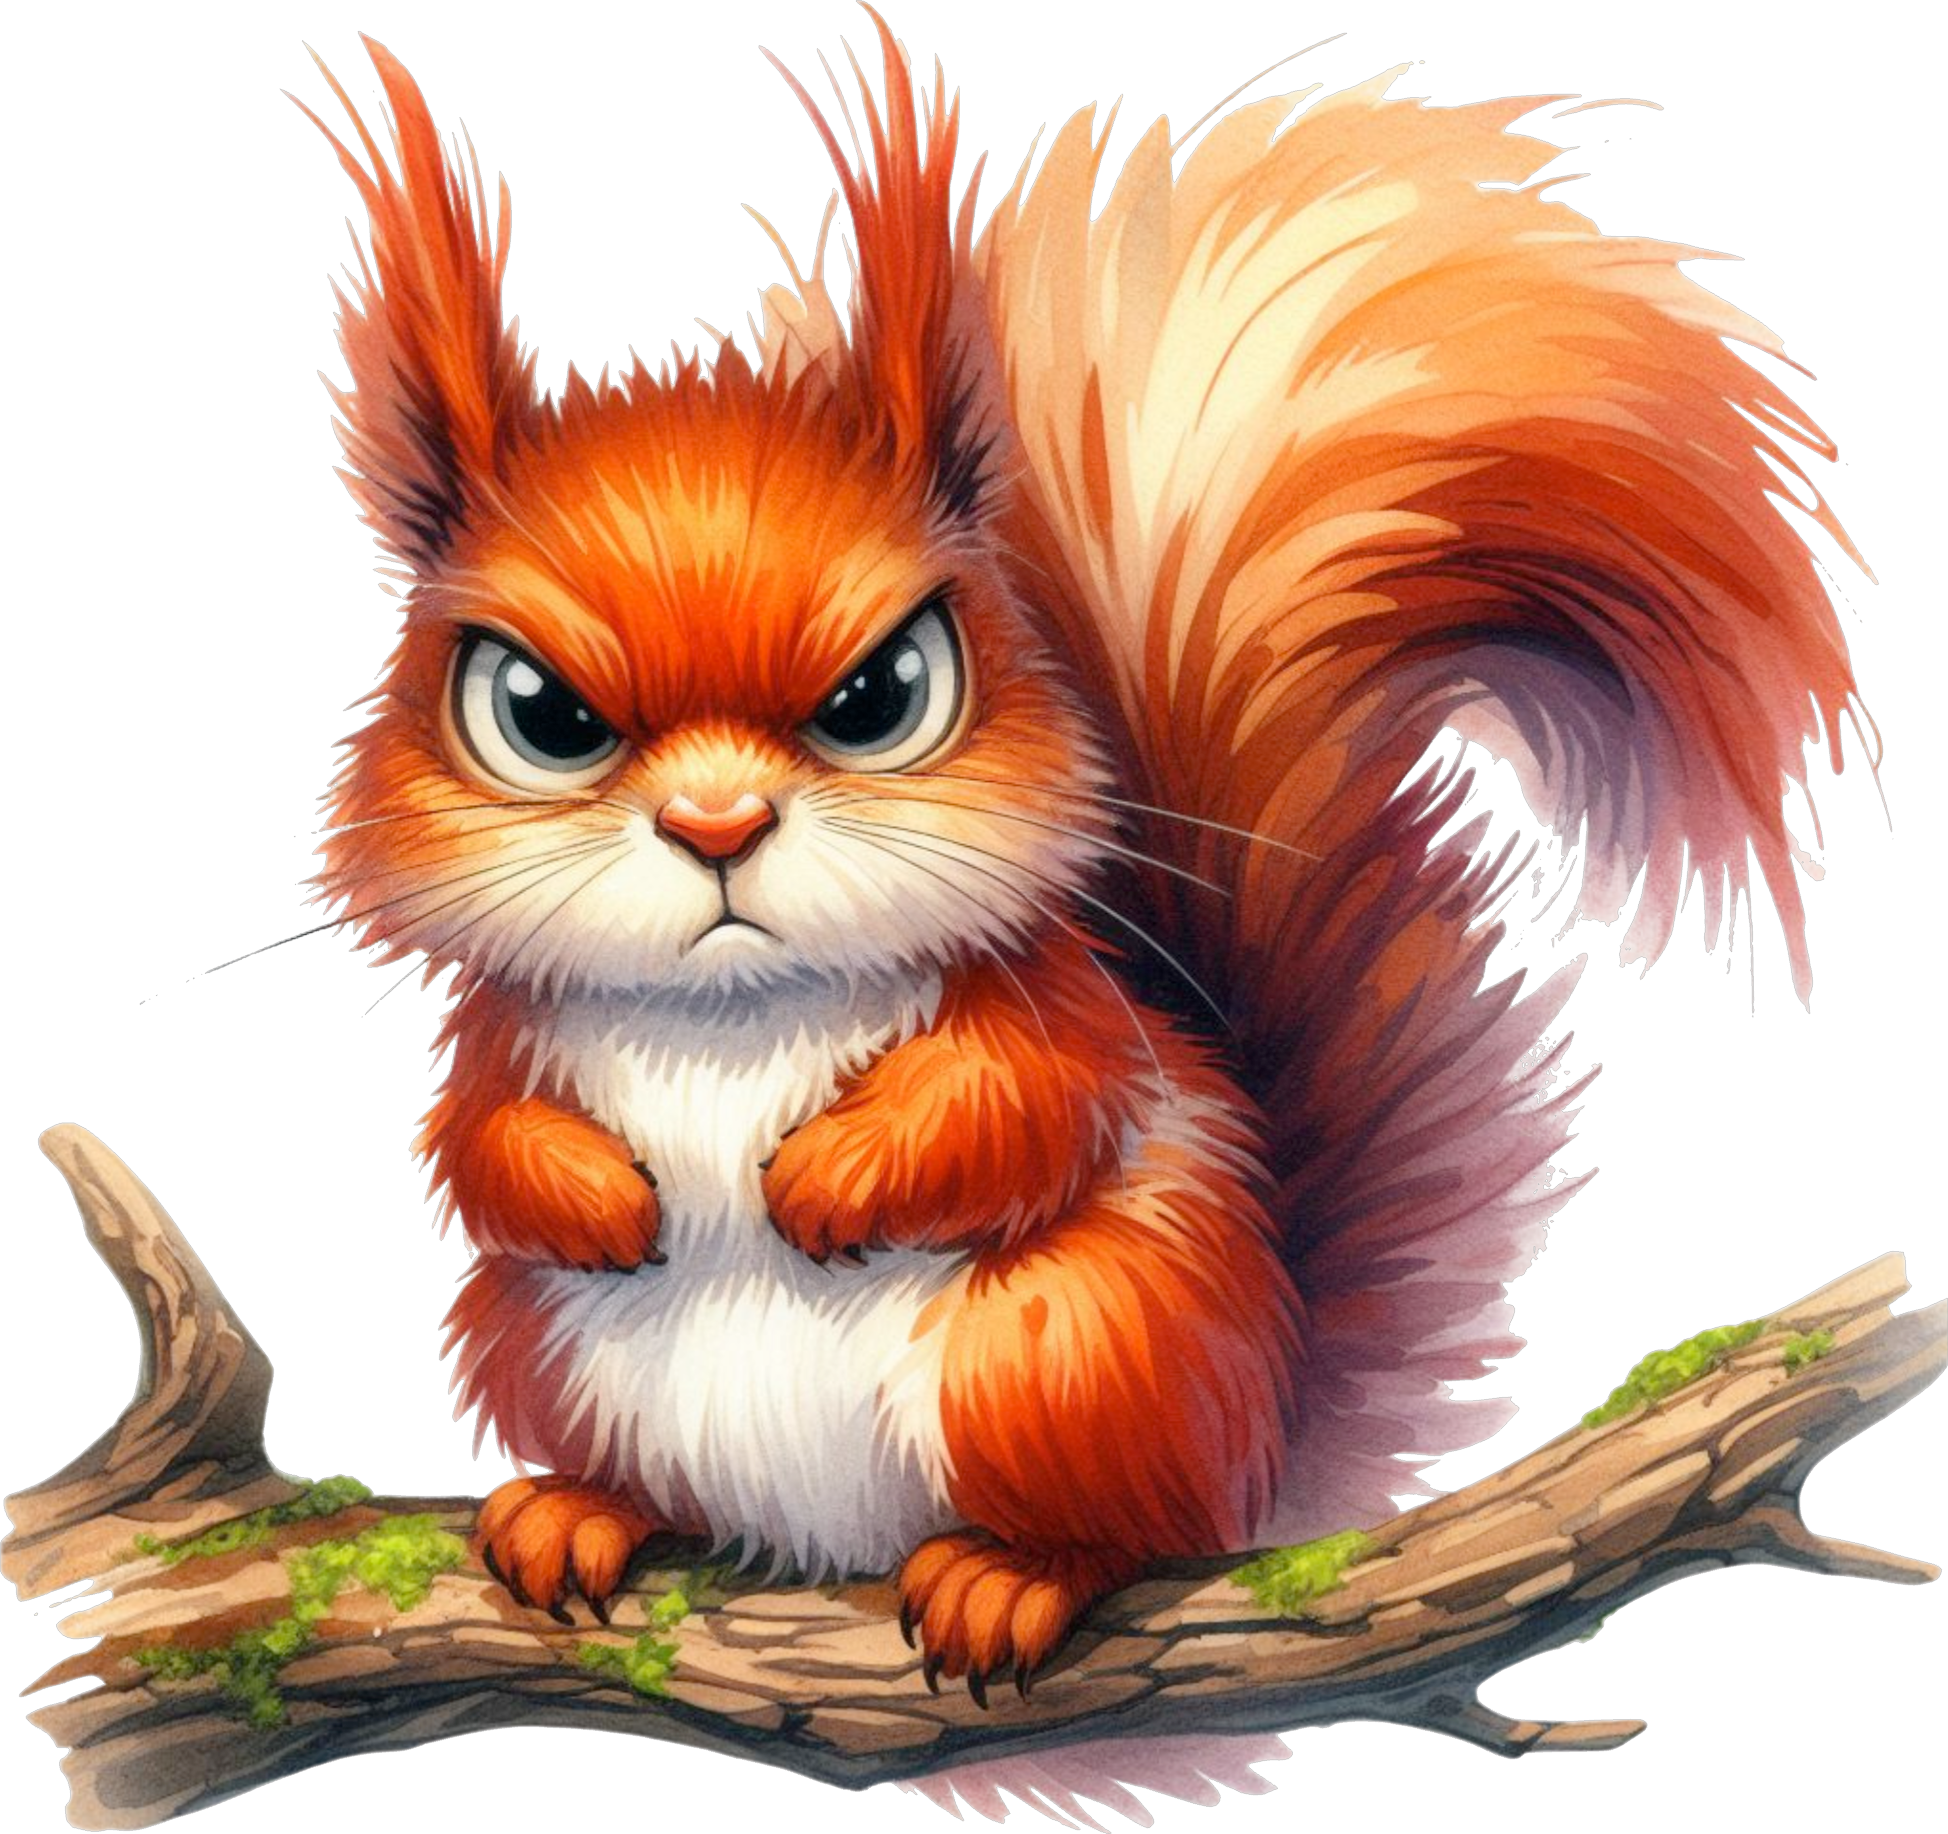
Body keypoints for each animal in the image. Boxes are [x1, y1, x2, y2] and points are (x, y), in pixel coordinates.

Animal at [292, 12, 1870, 1697]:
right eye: (536, 711)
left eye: (884, 692)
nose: (717, 826)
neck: (731, 1015)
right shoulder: (510, 1026)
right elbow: (477, 1144)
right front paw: (598, 1195)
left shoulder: (1054, 1007)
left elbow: (1022, 1109)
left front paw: (828, 1179)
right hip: (546, 1346)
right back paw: (579, 1509)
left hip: (1064, 1348)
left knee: (1129, 1519)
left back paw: (1015, 1573)